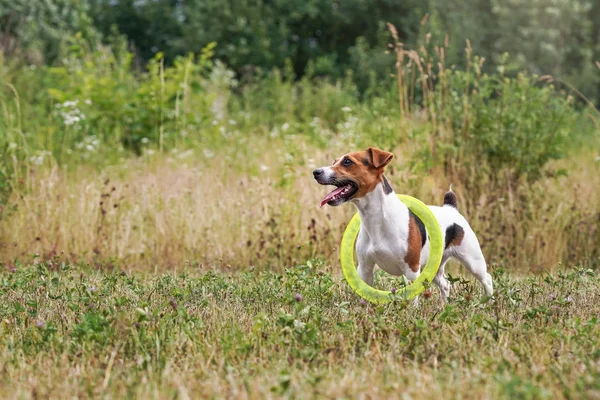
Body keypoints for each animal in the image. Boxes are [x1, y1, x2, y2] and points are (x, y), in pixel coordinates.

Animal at [314, 148, 492, 302]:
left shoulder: (411, 270)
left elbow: (412, 299)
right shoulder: (365, 268)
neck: (377, 218)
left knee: (487, 280)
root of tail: (451, 208)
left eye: (347, 162)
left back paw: (489, 302)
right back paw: (443, 306)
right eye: (334, 161)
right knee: (446, 285)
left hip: (472, 261)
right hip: (433, 268)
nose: (316, 172)